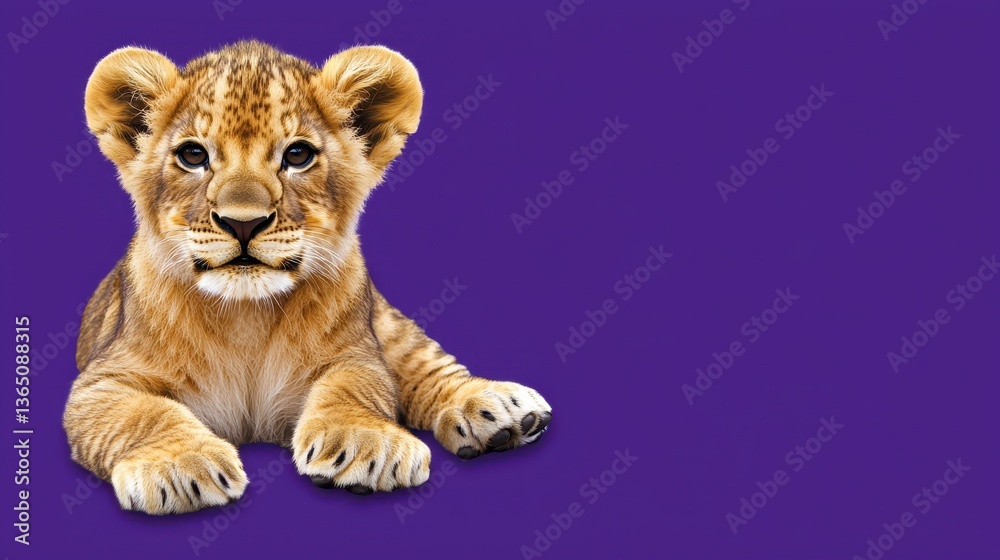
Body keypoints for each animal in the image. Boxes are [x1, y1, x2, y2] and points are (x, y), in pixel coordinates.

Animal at [63, 40, 552, 514]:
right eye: (193, 155)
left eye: (297, 155)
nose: (243, 222)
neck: (246, 318)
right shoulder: (102, 381)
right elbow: (142, 413)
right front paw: (180, 465)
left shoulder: (358, 354)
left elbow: (354, 387)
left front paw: (366, 442)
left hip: (383, 319)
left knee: (422, 360)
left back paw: (499, 409)